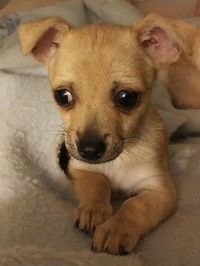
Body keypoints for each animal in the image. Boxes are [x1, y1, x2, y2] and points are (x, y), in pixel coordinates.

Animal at [18, 15, 177, 256]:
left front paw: (116, 228)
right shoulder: (81, 169)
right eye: (62, 96)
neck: (118, 161)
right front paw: (94, 210)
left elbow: (136, 204)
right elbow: (97, 181)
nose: (89, 149)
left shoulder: (161, 189)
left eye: (127, 97)